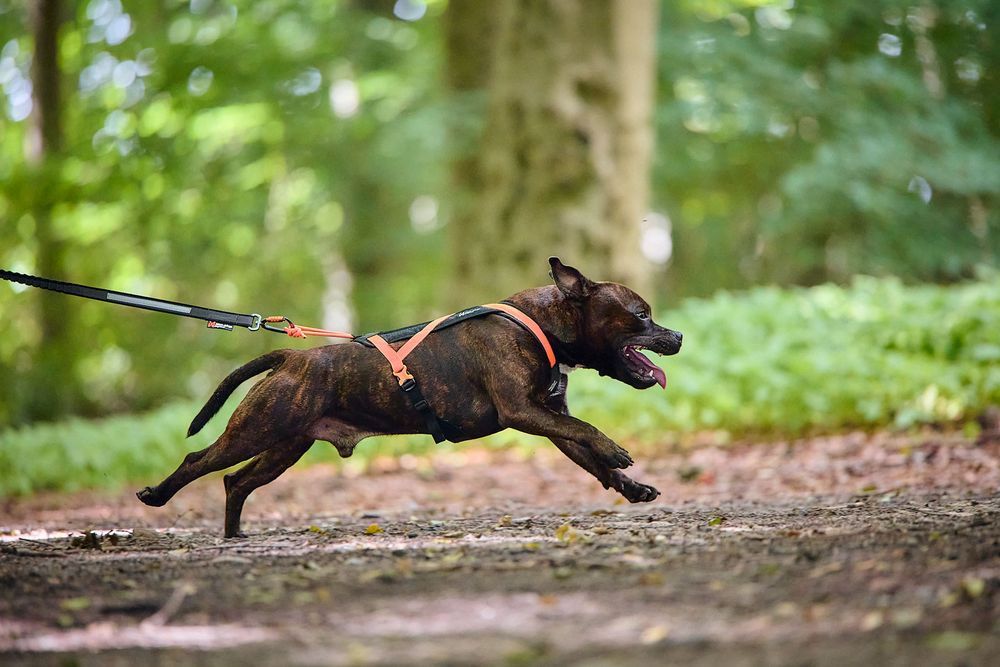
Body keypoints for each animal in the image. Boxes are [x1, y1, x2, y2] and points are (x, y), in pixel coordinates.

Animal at [137, 258, 684, 540]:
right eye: (641, 314)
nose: (677, 335)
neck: (541, 325)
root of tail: (291, 357)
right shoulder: (524, 412)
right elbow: (588, 433)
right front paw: (617, 450)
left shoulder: (548, 416)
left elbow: (588, 456)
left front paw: (631, 487)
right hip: (257, 430)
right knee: (199, 459)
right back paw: (157, 495)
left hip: (284, 446)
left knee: (237, 481)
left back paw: (234, 535)